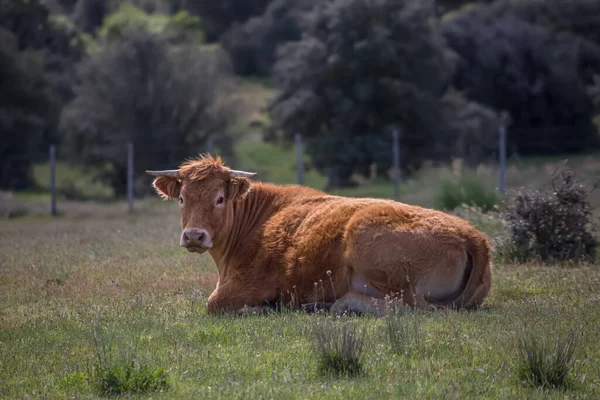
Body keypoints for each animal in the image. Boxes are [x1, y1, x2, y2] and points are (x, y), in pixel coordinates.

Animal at [146, 155, 492, 316]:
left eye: (219, 198)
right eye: (181, 198)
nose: (194, 236)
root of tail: (473, 236)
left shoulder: (245, 285)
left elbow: (214, 303)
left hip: (371, 249)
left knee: (408, 307)